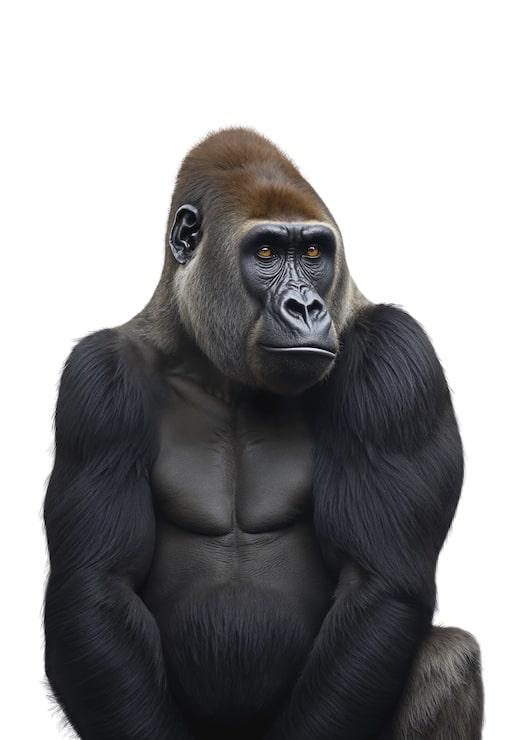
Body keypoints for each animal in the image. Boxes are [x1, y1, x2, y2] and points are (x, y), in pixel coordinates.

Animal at [44, 127, 483, 739]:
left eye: (315, 253)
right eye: (268, 253)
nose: (307, 307)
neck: (216, 369)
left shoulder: (398, 355)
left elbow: (379, 582)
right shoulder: (97, 382)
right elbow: (95, 586)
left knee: (448, 658)